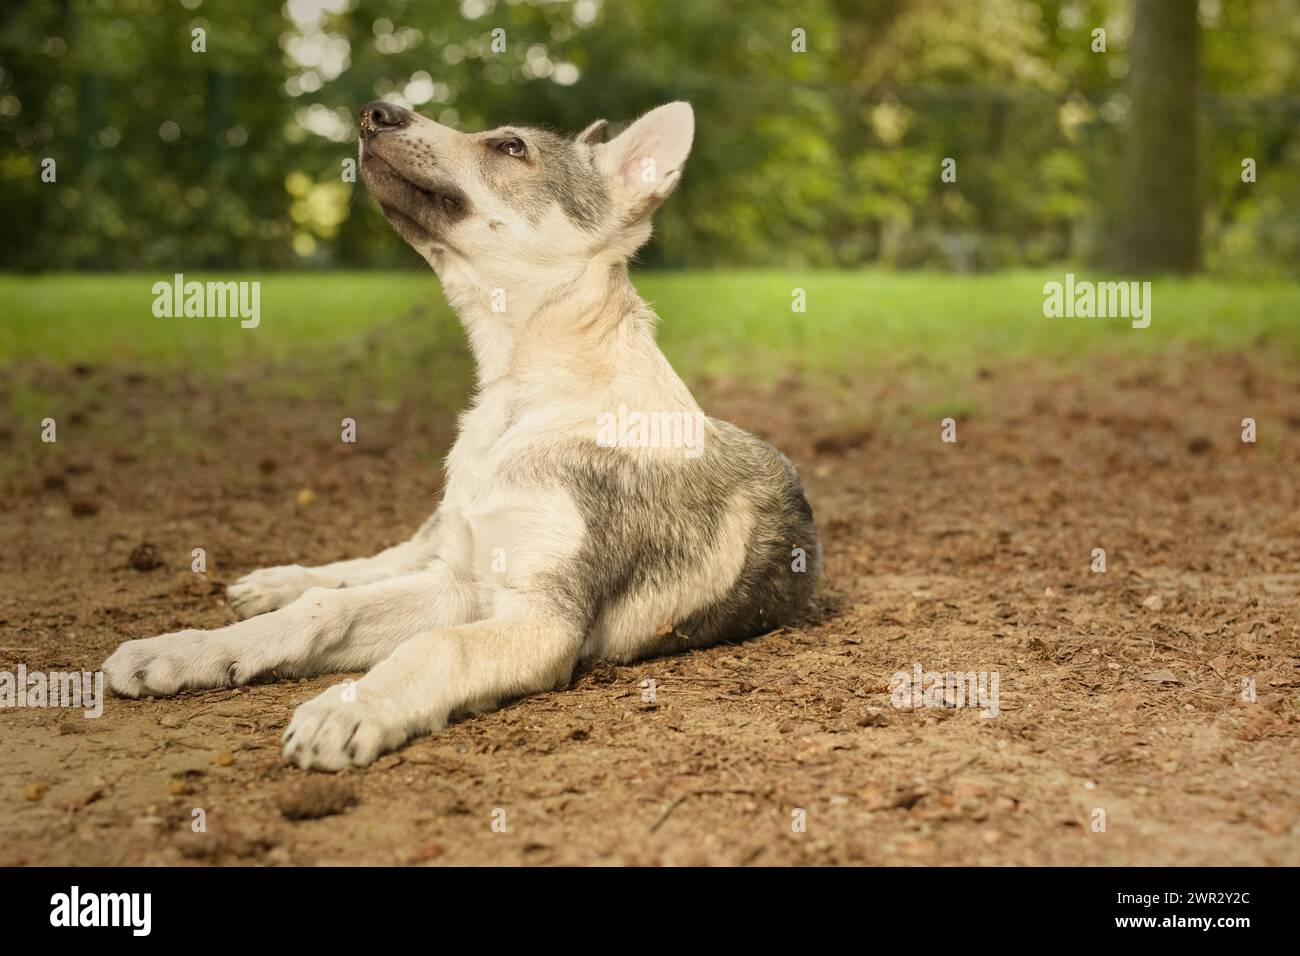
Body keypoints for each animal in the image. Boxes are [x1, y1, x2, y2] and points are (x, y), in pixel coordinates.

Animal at [109, 100, 821, 770]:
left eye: (510, 147)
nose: (374, 111)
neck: (521, 398)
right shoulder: (462, 582)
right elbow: (325, 612)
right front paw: (188, 650)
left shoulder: (537, 618)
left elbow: (435, 646)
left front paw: (352, 707)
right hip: (442, 542)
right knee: (367, 568)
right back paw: (271, 585)